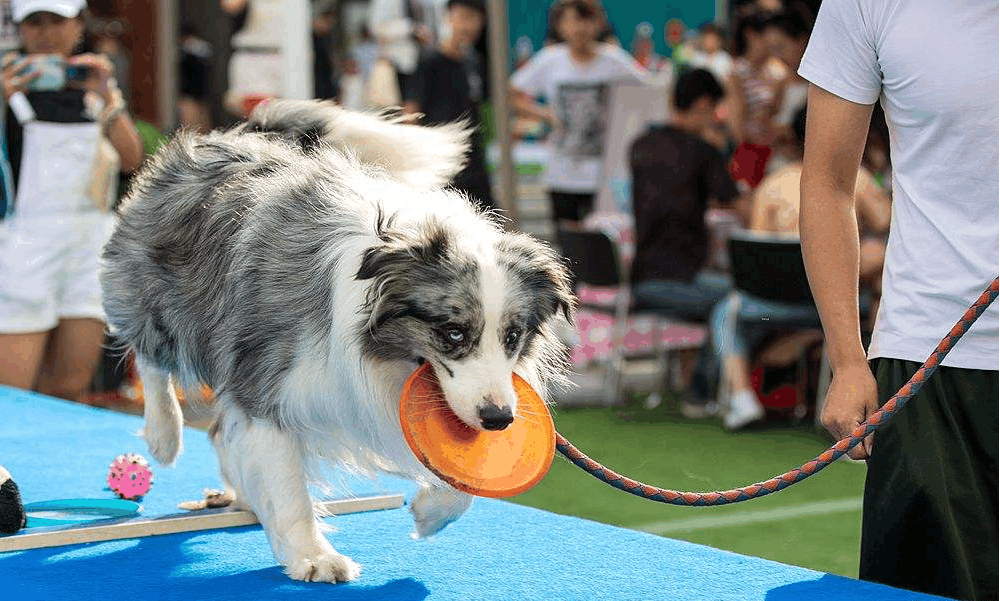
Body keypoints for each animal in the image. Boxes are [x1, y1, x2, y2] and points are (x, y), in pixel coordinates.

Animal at [100, 98, 576, 580]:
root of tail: (241, 133)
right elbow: (288, 484)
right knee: (149, 354)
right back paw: (164, 433)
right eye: (453, 332)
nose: (500, 419)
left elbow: (462, 476)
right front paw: (314, 557)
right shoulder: (266, 382)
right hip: (159, 298)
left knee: (219, 432)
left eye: (512, 336)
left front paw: (431, 514)